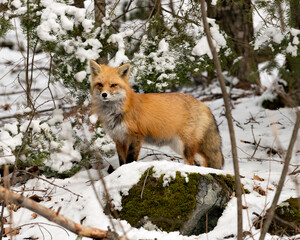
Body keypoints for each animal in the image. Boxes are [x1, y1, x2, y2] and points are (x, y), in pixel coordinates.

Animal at [89, 60, 223, 169]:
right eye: (100, 84)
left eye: (113, 85)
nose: (104, 94)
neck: (115, 112)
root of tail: (204, 104)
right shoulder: (119, 139)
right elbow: (122, 161)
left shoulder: (135, 136)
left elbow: (130, 160)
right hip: (178, 146)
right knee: (203, 161)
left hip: (185, 146)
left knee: (193, 162)